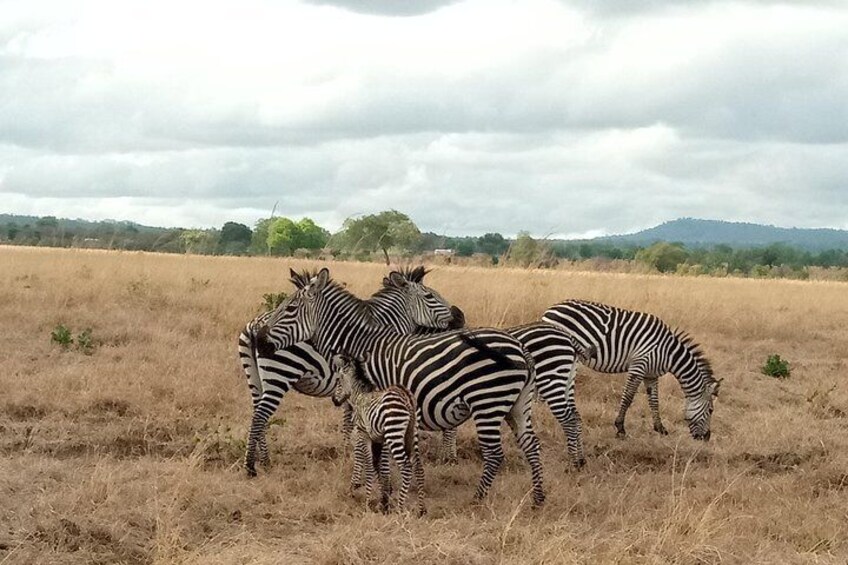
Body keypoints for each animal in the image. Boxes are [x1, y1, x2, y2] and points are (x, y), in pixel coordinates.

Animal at [238, 268, 464, 476]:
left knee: (257, 414)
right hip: (279, 374)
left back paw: (264, 460)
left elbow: (349, 420)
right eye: (430, 296)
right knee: (260, 415)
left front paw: (348, 451)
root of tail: (255, 325)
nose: (460, 317)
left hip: (256, 379)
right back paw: (251, 465)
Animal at [330, 352, 424, 516]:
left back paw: (400, 508)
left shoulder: (363, 434)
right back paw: (421, 509)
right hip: (412, 433)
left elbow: (367, 465)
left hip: (394, 432)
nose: (334, 400)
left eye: (339, 380)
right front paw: (384, 500)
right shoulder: (381, 440)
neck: (359, 395)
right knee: (418, 466)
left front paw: (367, 502)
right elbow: (380, 466)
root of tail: (406, 396)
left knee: (406, 466)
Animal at [544, 298, 724, 438]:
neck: (669, 352)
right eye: (710, 411)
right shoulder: (639, 366)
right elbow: (628, 398)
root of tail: (551, 308)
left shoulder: (651, 374)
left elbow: (654, 401)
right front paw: (620, 428)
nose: (706, 438)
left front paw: (660, 428)